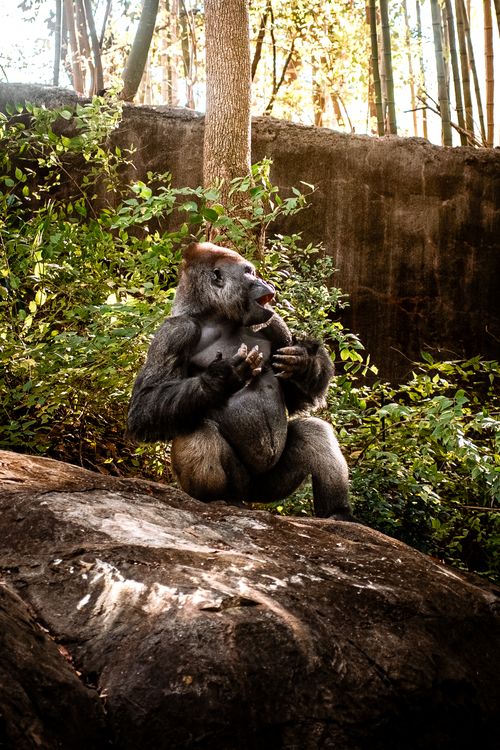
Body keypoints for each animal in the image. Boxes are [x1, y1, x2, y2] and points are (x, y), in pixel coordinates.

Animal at [127, 242, 353, 520]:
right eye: (249, 273)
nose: (265, 281)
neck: (217, 316)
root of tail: (251, 499)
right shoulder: (175, 332)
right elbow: (144, 405)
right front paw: (221, 378)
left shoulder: (273, 321)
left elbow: (295, 398)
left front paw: (304, 363)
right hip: (241, 486)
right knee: (197, 432)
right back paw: (218, 499)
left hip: (268, 488)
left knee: (315, 432)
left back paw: (338, 513)